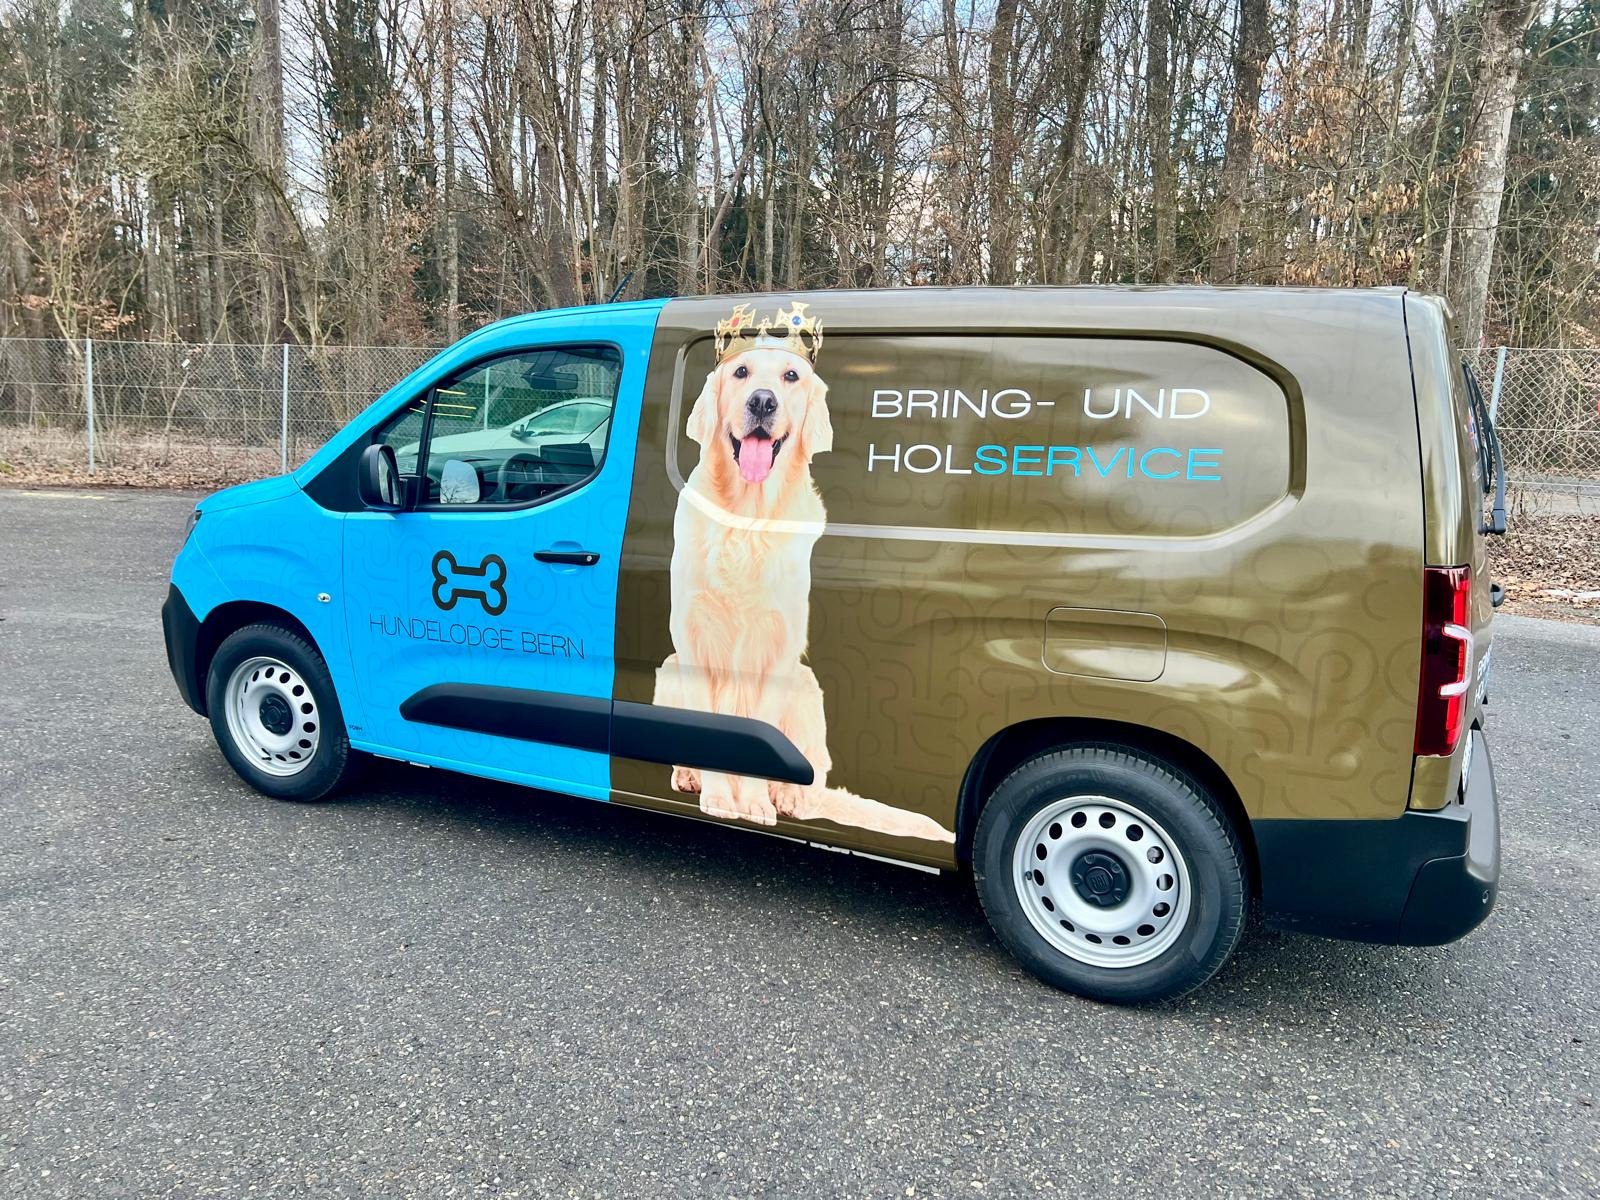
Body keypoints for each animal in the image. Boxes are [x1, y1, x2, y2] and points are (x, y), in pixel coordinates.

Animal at [652, 304, 954, 844]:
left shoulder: (777, 652)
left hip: (806, 684)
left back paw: (787, 796)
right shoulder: (692, 641)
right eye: (741, 372)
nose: (763, 401)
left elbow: (761, 741)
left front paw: (752, 802)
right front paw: (717, 795)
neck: (749, 519)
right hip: (670, 667)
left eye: (791, 377)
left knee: (810, 777)